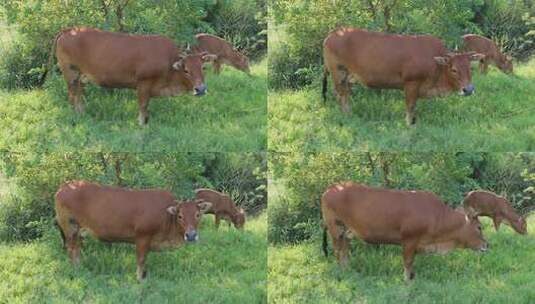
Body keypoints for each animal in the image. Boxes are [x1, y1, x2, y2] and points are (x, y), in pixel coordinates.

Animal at [46, 27, 218, 124]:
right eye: (186, 70)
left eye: (203, 68)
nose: (201, 89)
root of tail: (69, 30)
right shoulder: (143, 84)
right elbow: (143, 105)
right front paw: (141, 124)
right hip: (70, 72)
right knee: (72, 95)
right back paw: (76, 116)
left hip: (80, 76)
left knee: (79, 94)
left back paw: (83, 114)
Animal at [54, 179, 213, 282]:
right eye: (180, 216)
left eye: (198, 215)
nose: (191, 235)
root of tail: (63, 187)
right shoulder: (142, 236)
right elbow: (141, 259)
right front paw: (140, 279)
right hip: (70, 226)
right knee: (72, 248)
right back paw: (76, 269)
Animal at [322, 27, 486, 124]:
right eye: (453, 69)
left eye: (470, 68)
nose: (468, 89)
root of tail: (332, 34)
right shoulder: (411, 84)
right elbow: (410, 106)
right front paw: (409, 125)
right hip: (338, 72)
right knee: (341, 95)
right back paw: (346, 116)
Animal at [322, 182, 490, 282]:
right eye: (479, 227)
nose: (487, 245)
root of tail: (330, 189)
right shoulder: (409, 240)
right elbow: (408, 262)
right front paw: (407, 280)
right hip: (335, 227)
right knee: (338, 250)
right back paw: (341, 272)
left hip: (345, 231)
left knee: (344, 249)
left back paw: (347, 270)